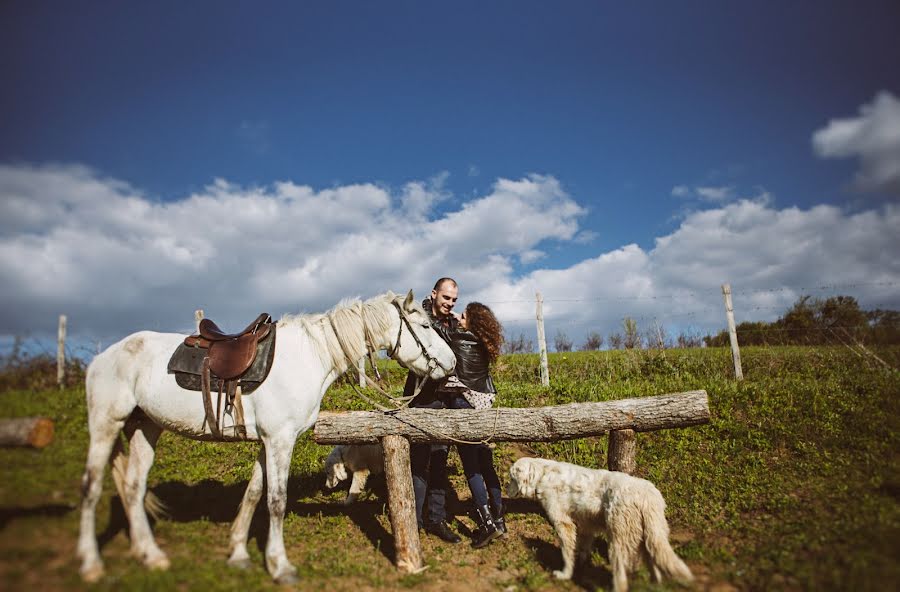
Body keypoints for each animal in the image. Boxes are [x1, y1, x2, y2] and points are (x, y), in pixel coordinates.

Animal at [77, 292, 458, 584]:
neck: (311, 356)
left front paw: (238, 554)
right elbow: (276, 500)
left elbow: (253, 493)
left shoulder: (267, 441)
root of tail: (103, 357)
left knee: (133, 488)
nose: (452, 363)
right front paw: (280, 566)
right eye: (426, 326)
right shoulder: (280, 440)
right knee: (91, 489)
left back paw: (150, 554)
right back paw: (91, 564)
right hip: (105, 424)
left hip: (145, 427)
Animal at [510, 456, 692, 588]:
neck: (542, 474)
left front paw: (565, 574)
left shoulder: (563, 524)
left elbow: (567, 553)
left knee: (621, 577)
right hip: (649, 536)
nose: (505, 488)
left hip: (618, 542)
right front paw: (581, 565)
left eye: (511, 478)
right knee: (653, 563)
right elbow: (583, 548)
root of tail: (646, 495)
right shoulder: (586, 526)